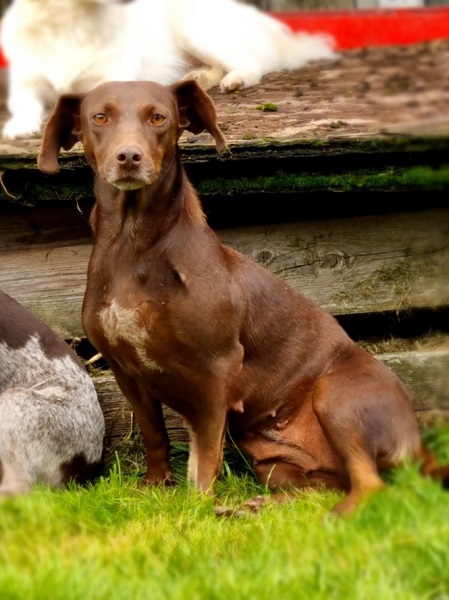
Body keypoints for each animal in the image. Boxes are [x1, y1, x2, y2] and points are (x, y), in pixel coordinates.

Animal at [0, 0, 336, 138]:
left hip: (196, 31)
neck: (68, 22)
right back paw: (195, 78)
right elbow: (26, 105)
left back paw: (236, 80)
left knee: (251, 64)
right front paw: (20, 127)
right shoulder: (27, 84)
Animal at [38, 79, 448, 516]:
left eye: (158, 117)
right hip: (280, 468)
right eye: (100, 117)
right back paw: (253, 506)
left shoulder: (214, 370)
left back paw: (330, 518)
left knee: (370, 486)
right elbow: (154, 434)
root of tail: (417, 442)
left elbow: (204, 457)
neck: (134, 246)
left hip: (335, 397)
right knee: (321, 489)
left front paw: (196, 509)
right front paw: (155, 485)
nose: (129, 156)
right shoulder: (125, 369)